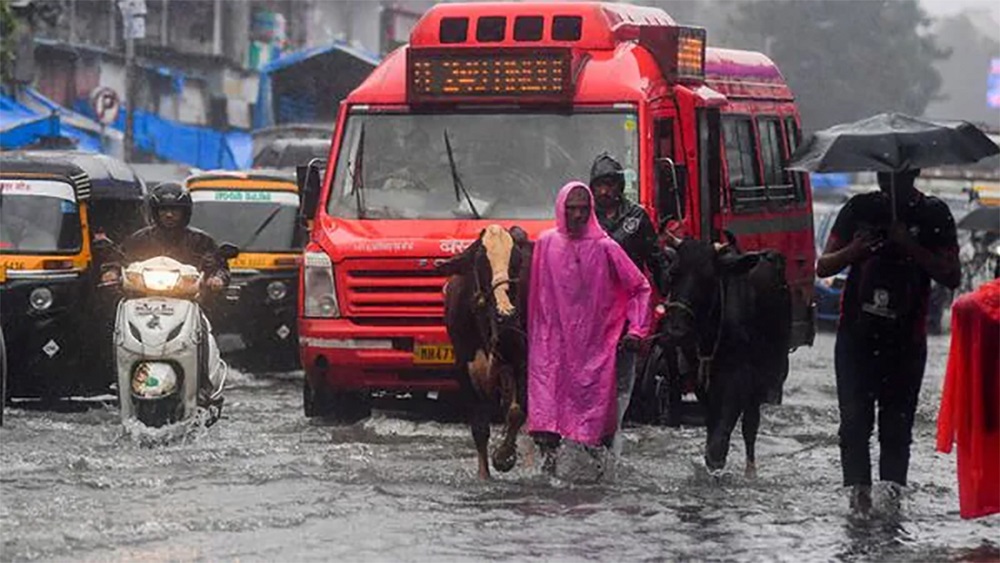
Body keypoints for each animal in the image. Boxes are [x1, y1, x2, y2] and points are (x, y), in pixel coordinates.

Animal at [438, 225, 532, 480]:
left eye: (517, 261)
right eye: (480, 262)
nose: (506, 313)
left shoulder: (522, 359)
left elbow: (517, 412)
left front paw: (504, 456)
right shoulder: (464, 366)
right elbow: (480, 426)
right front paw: (484, 475)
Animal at [660, 232, 792, 476]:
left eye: (708, 278)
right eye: (673, 273)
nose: (676, 330)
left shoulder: (740, 376)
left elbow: (724, 429)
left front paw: (716, 460)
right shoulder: (700, 376)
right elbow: (712, 421)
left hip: (770, 372)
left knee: (751, 425)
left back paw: (750, 471)